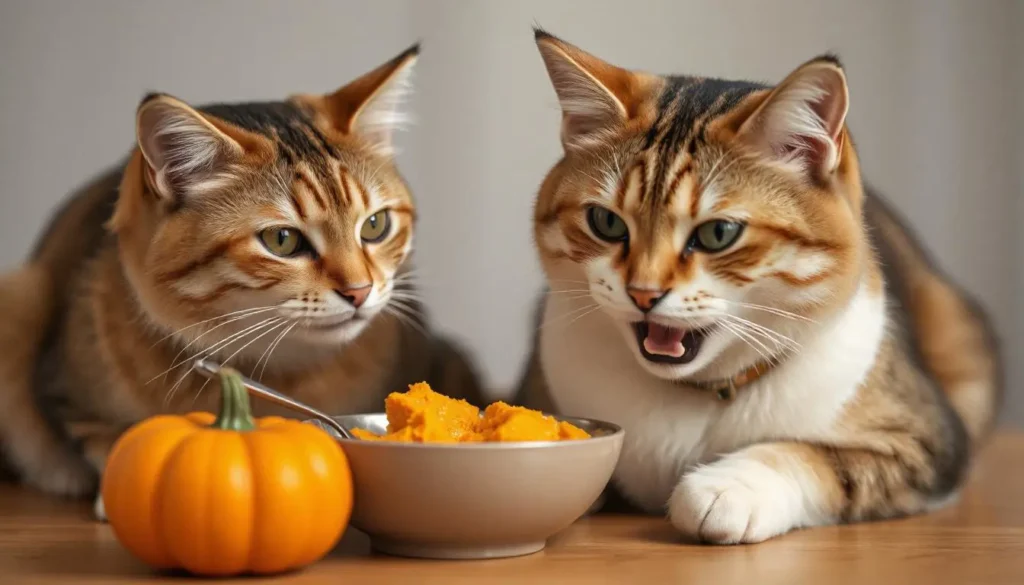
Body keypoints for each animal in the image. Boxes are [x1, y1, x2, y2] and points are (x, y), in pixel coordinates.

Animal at [0, 45, 483, 512]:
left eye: (375, 225)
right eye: (282, 240)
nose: (359, 291)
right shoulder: (66, 389)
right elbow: (101, 436)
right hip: (20, 296)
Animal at [512, 30, 999, 545]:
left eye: (718, 233)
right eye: (606, 223)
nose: (643, 292)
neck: (699, 393)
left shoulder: (928, 441)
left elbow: (819, 456)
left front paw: (728, 488)